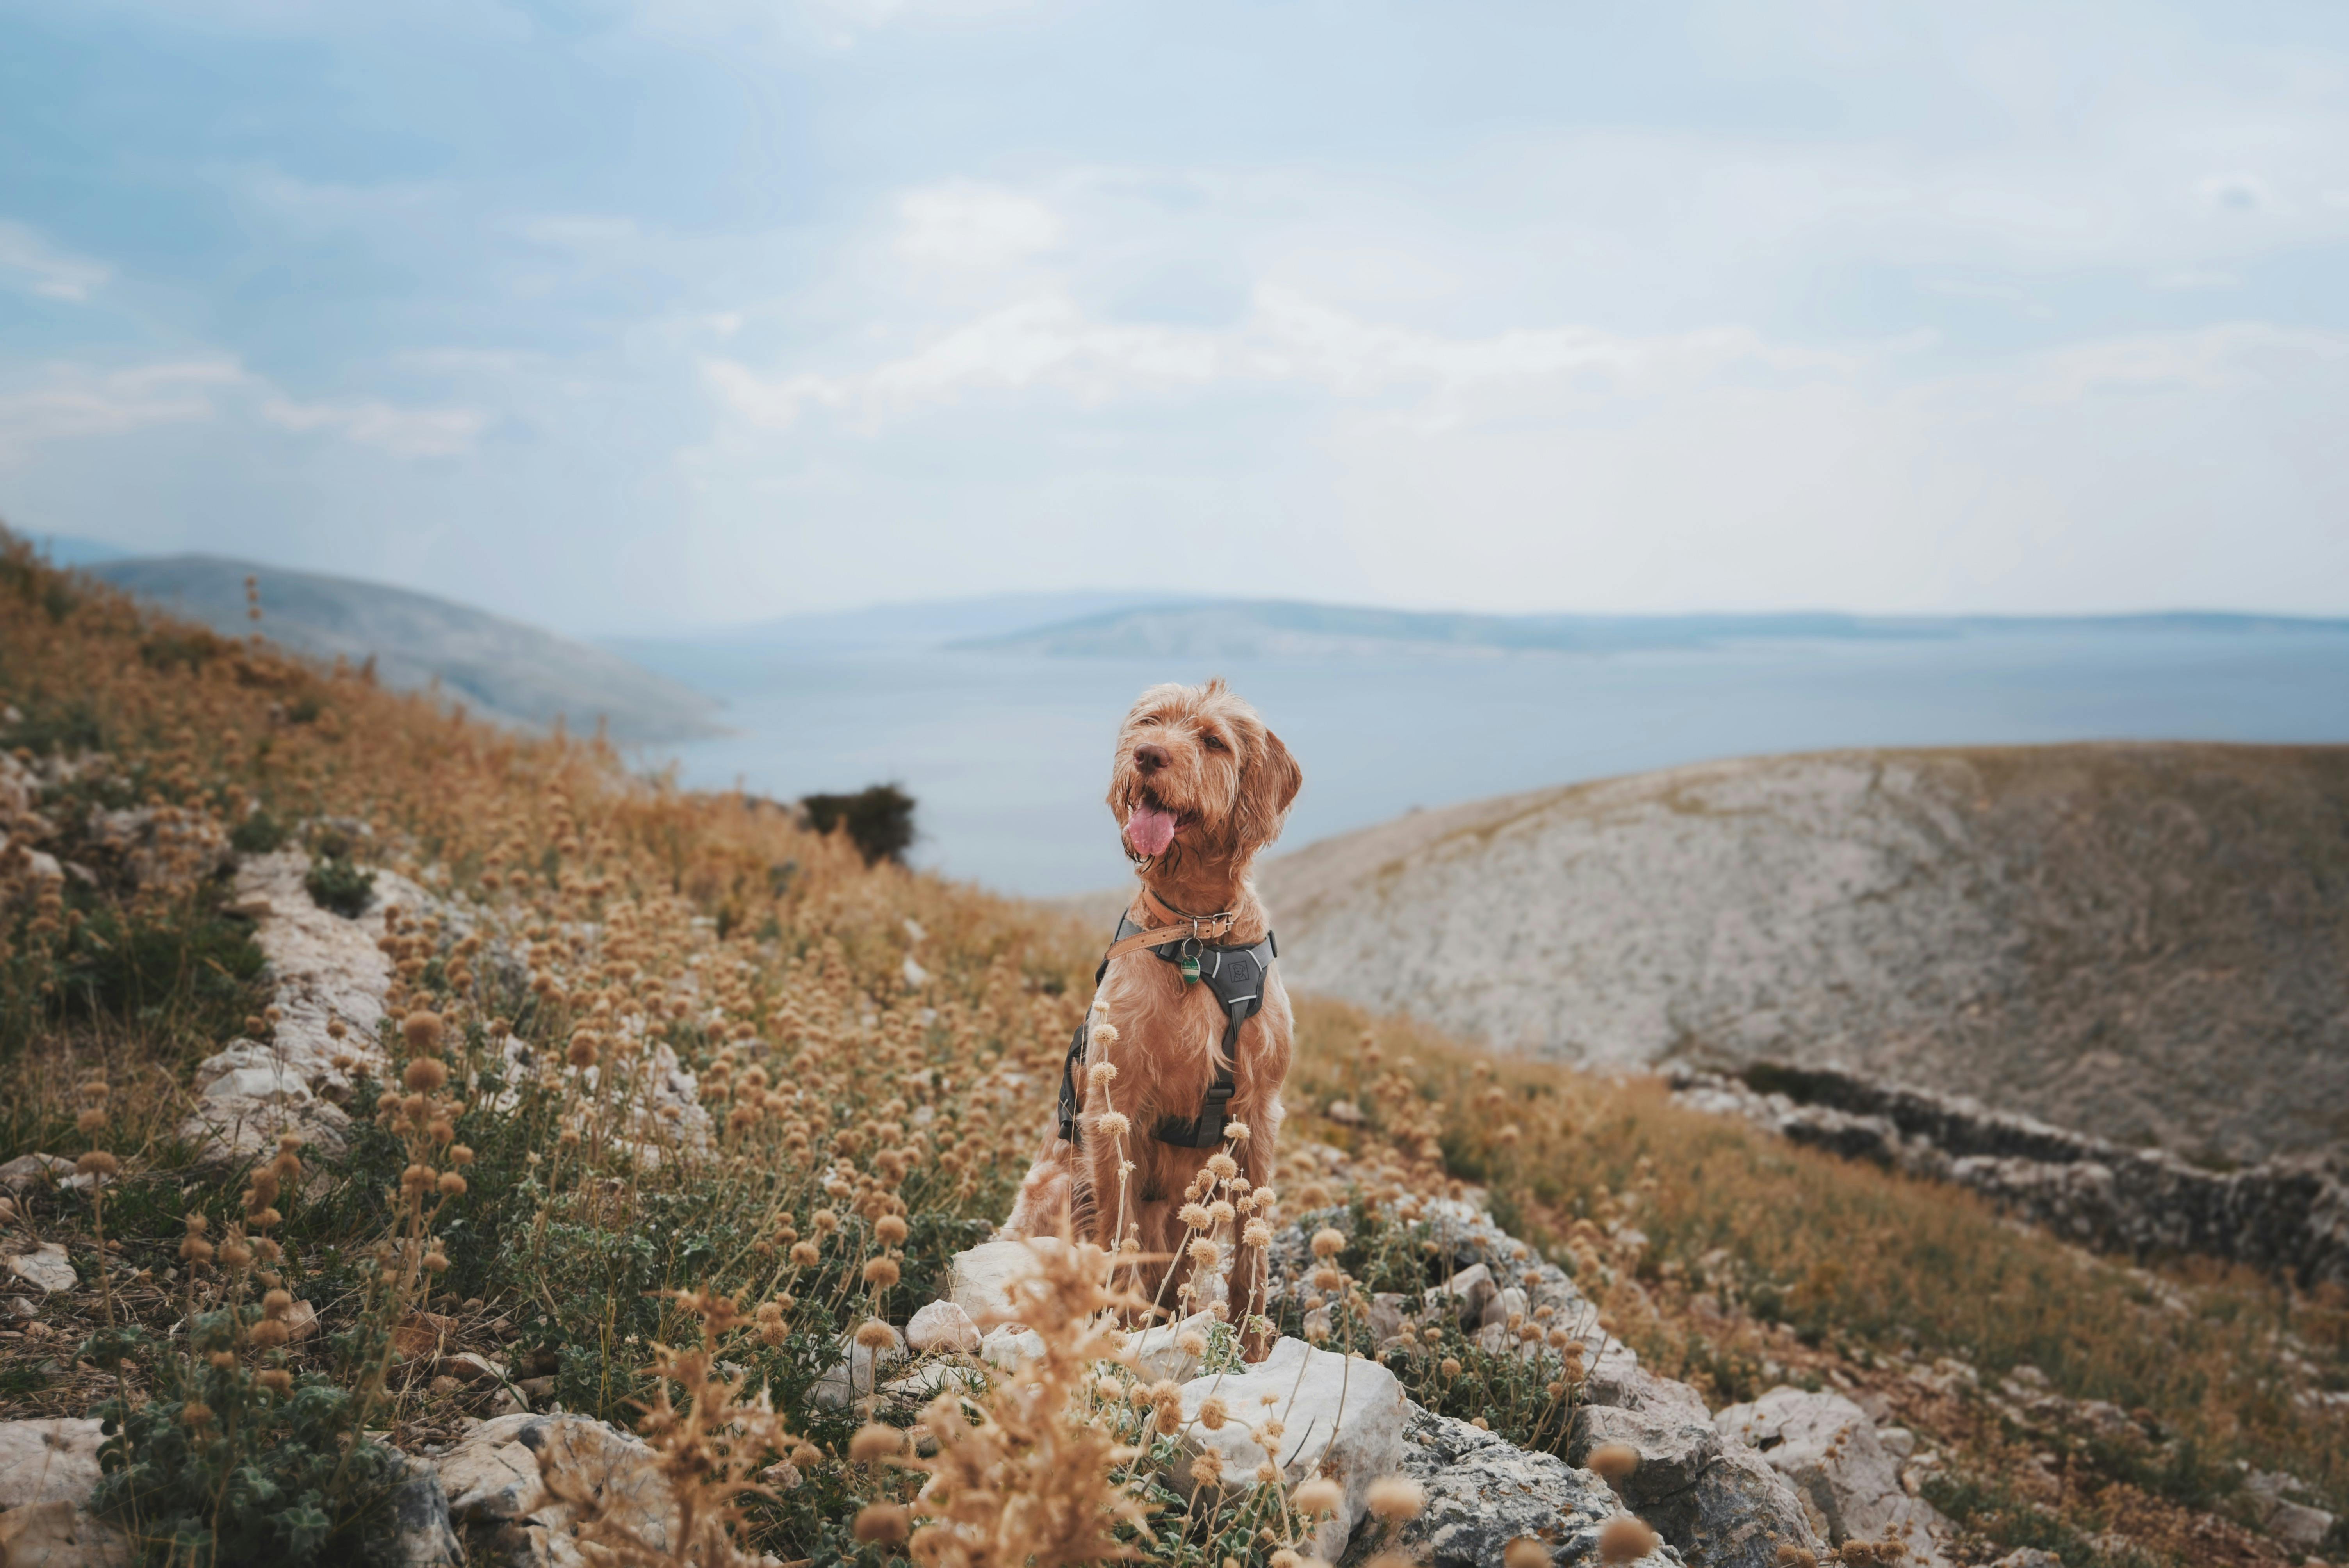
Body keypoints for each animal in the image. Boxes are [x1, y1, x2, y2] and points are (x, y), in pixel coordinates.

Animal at [1005, 676, 1315, 1352]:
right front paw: (1117, 1326)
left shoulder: (1260, 1109)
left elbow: (1252, 1252)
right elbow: (1117, 1227)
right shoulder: (1113, 1104)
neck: (1196, 932)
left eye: (1214, 741)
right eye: (1149, 722)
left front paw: (1252, 1344)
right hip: (1055, 1183)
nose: (1147, 756)